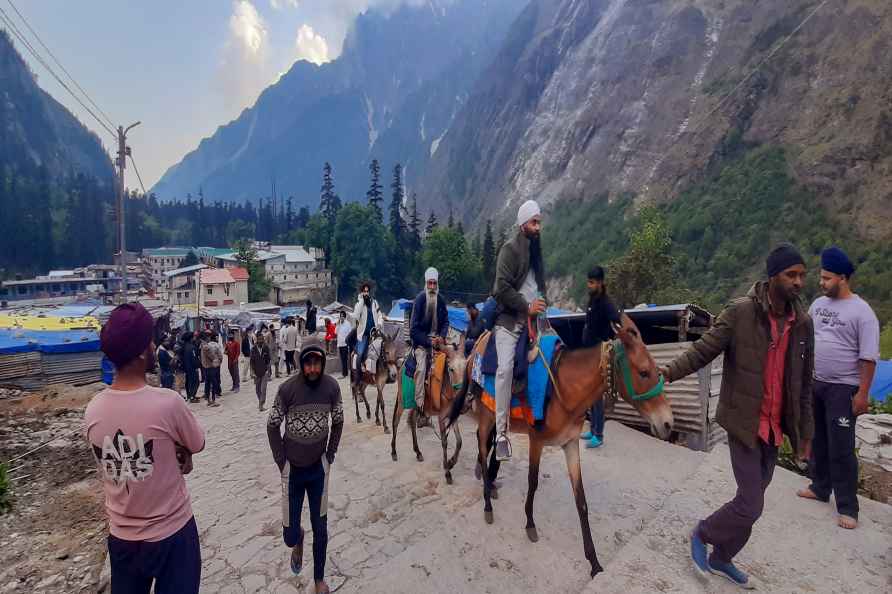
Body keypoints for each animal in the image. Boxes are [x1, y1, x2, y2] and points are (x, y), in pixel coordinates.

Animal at [394, 344, 470, 484]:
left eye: (466, 367)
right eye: (451, 369)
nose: (466, 400)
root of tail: (401, 366)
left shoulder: (453, 415)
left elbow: (459, 441)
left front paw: (451, 462)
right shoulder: (441, 418)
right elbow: (444, 442)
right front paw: (447, 472)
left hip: (415, 405)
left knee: (412, 421)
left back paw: (418, 452)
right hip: (402, 401)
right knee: (396, 422)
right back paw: (393, 452)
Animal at [450, 316, 672, 576]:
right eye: (644, 372)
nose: (668, 423)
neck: (564, 389)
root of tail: (476, 348)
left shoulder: (570, 444)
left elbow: (581, 500)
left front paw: (594, 562)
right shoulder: (537, 441)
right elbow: (533, 482)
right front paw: (530, 523)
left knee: (491, 444)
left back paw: (490, 483)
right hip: (486, 413)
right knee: (483, 445)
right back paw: (487, 503)